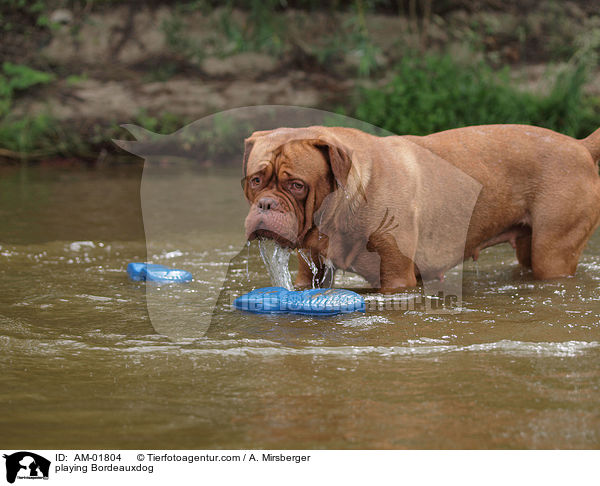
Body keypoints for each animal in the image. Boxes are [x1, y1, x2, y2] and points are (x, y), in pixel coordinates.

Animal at [241, 125, 600, 292]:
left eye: (297, 185)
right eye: (256, 180)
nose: (267, 203)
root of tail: (579, 145)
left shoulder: (396, 276)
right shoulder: (309, 272)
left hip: (553, 252)